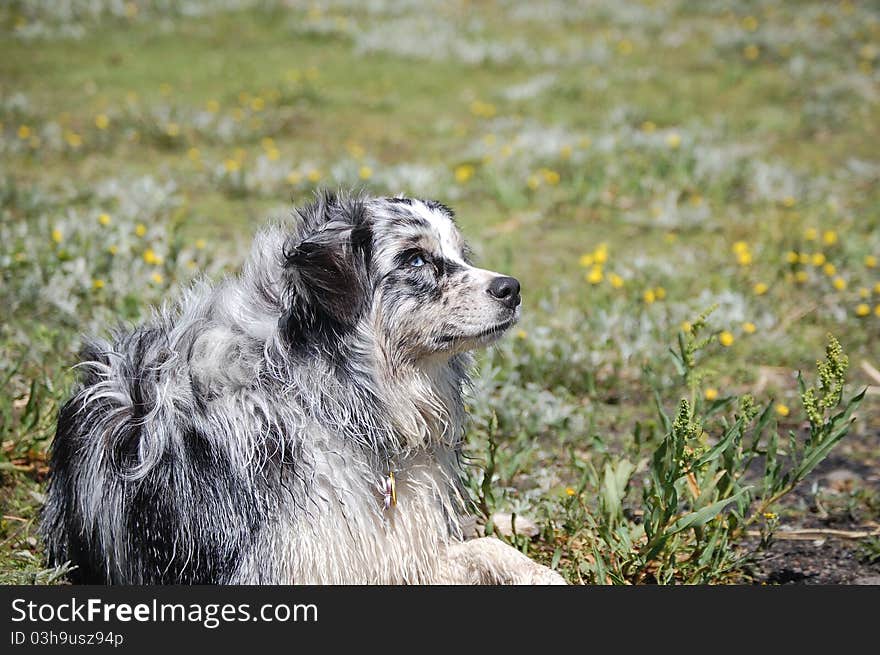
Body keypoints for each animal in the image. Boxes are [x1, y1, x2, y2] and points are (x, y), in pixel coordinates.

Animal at [41, 192, 564, 588]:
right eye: (415, 258)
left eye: (460, 254)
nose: (511, 288)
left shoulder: (396, 549)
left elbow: (483, 546)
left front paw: (536, 569)